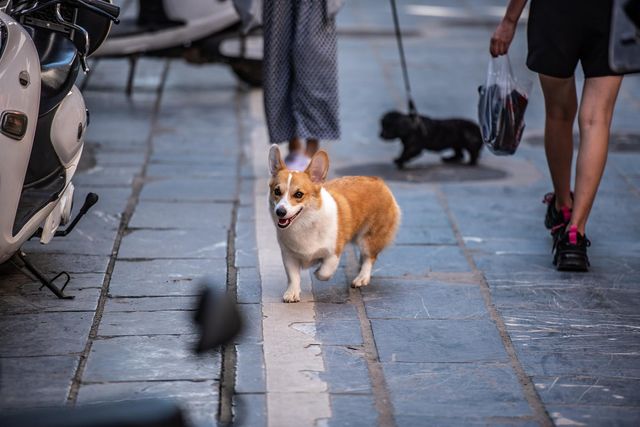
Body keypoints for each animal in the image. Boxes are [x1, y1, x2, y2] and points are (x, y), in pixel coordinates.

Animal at [268, 145, 400, 302]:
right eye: (277, 191)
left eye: (299, 194)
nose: (280, 211)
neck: (305, 224)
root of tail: (378, 180)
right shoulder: (289, 256)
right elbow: (293, 277)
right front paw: (292, 292)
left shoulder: (334, 252)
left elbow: (325, 272)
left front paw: (318, 270)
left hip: (368, 239)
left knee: (370, 257)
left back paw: (362, 277)